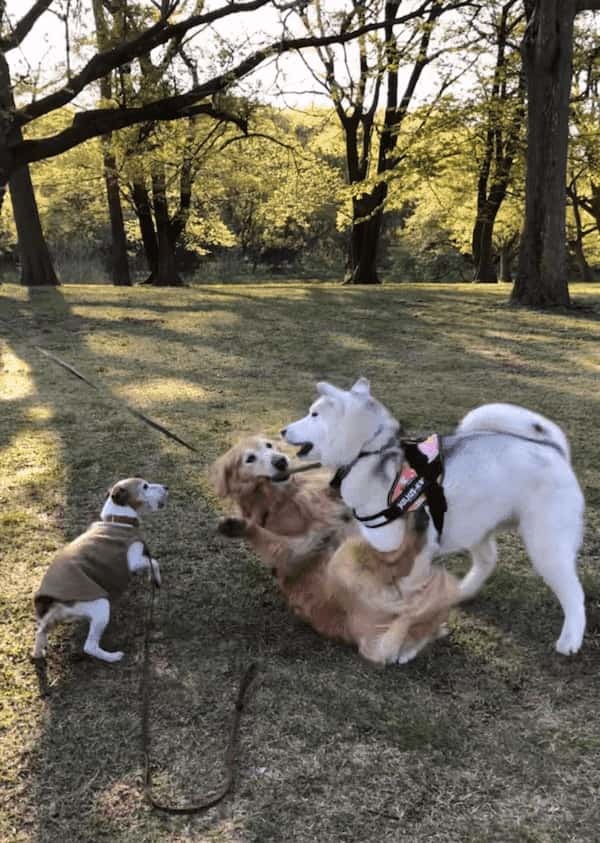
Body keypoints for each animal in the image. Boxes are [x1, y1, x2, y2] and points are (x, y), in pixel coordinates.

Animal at [33, 478, 169, 664]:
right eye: (145, 486)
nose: (166, 487)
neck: (118, 520)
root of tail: (52, 599)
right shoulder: (134, 560)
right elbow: (154, 562)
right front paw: (155, 579)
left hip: (52, 618)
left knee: (40, 632)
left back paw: (38, 653)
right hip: (101, 607)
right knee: (89, 647)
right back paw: (113, 657)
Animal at [211, 436, 460, 664]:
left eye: (269, 445)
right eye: (249, 459)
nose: (280, 461)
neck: (284, 496)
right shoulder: (302, 545)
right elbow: (269, 537)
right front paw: (238, 526)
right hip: (346, 559)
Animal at [282, 380, 584, 656]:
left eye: (314, 414)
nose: (282, 430)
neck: (368, 452)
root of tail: (553, 448)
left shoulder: (399, 545)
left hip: (546, 545)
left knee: (574, 593)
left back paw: (570, 640)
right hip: (475, 525)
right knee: (488, 559)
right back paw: (463, 591)